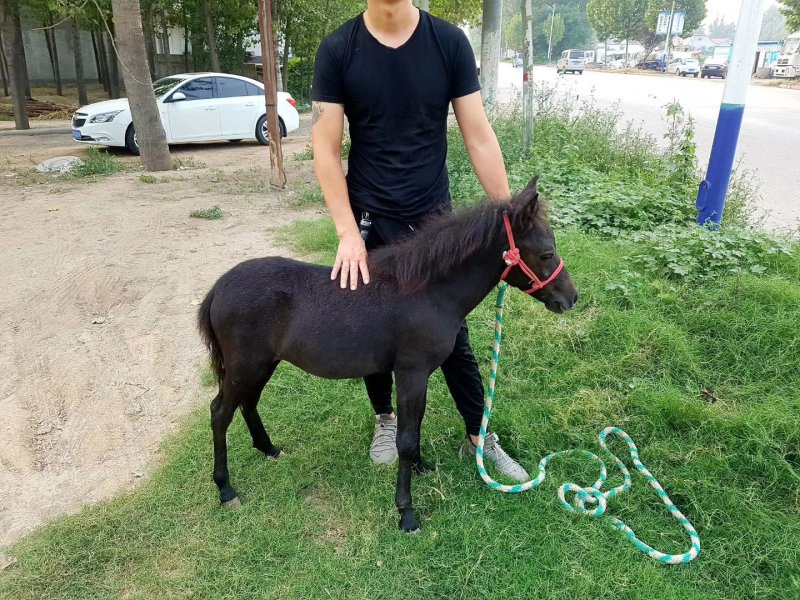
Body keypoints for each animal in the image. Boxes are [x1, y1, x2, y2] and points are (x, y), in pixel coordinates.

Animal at [197, 176, 578, 532]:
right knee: (220, 413)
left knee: (248, 404)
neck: (428, 291)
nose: (570, 298)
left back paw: (269, 449)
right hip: (245, 365)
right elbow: (405, 439)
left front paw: (421, 467)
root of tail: (218, 287)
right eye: (546, 253)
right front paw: (406, 512)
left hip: (263, 364)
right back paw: (226, 490)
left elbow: (415, 425)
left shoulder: (418, 376)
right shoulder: (411, 372)